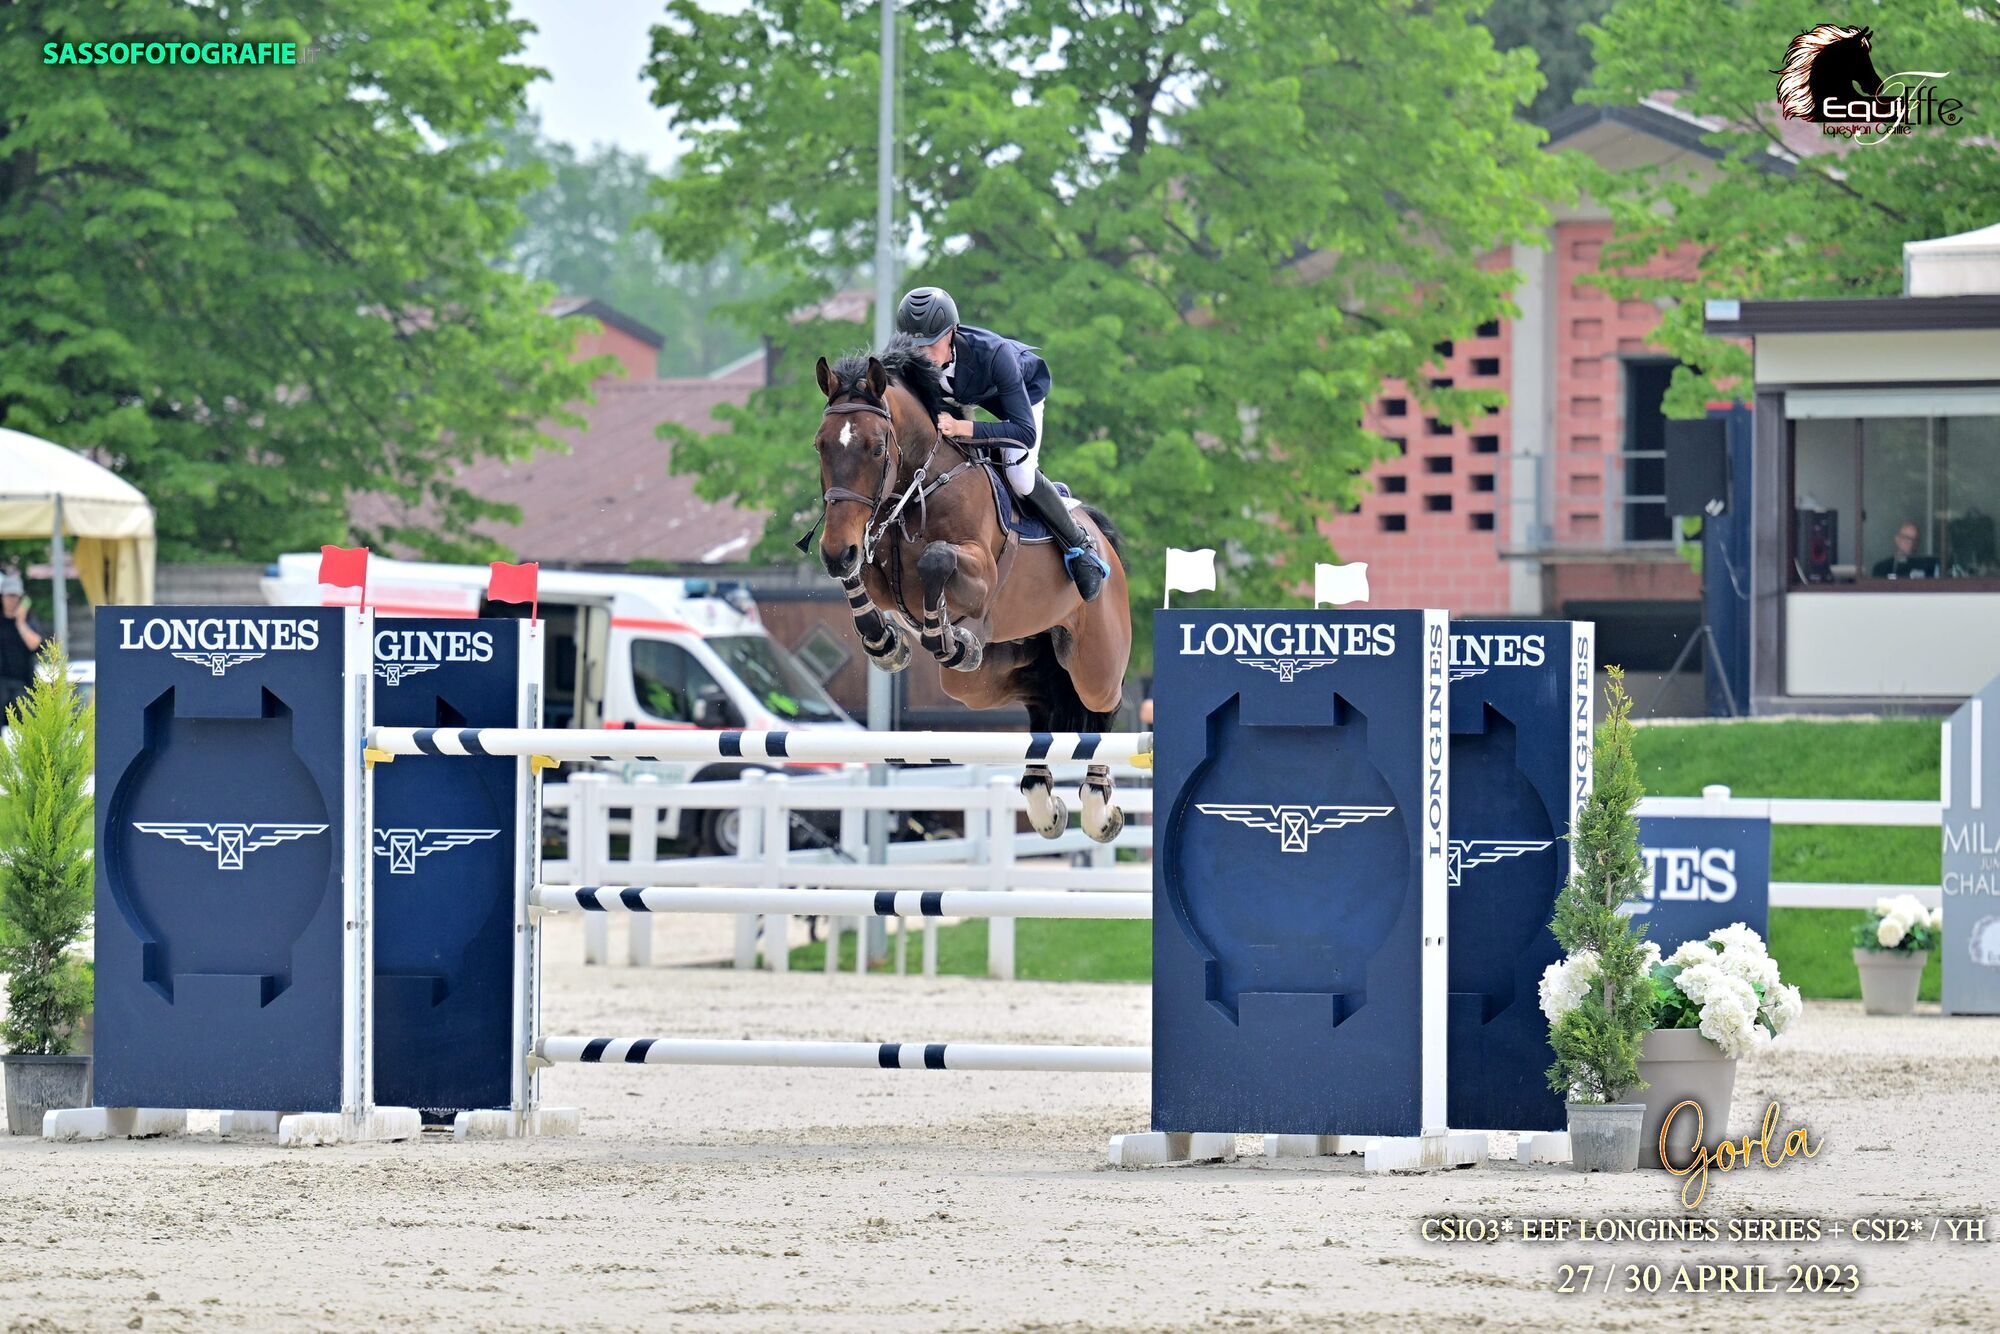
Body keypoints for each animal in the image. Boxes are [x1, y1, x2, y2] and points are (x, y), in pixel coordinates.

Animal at [808, 334, 1128, 840]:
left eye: (877, 448)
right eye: (820, 446)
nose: (834, 551)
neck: (916, 488)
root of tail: (1104, 542)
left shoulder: (979, 573)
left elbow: (937, 559)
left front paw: (940, 635)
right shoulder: (871, 558)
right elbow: (861, 578)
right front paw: (886, 642)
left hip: (1095, 661)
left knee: (1103, 707)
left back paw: (1099, 809)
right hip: (981, 679)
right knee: (1039, 696)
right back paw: (1042, 801)